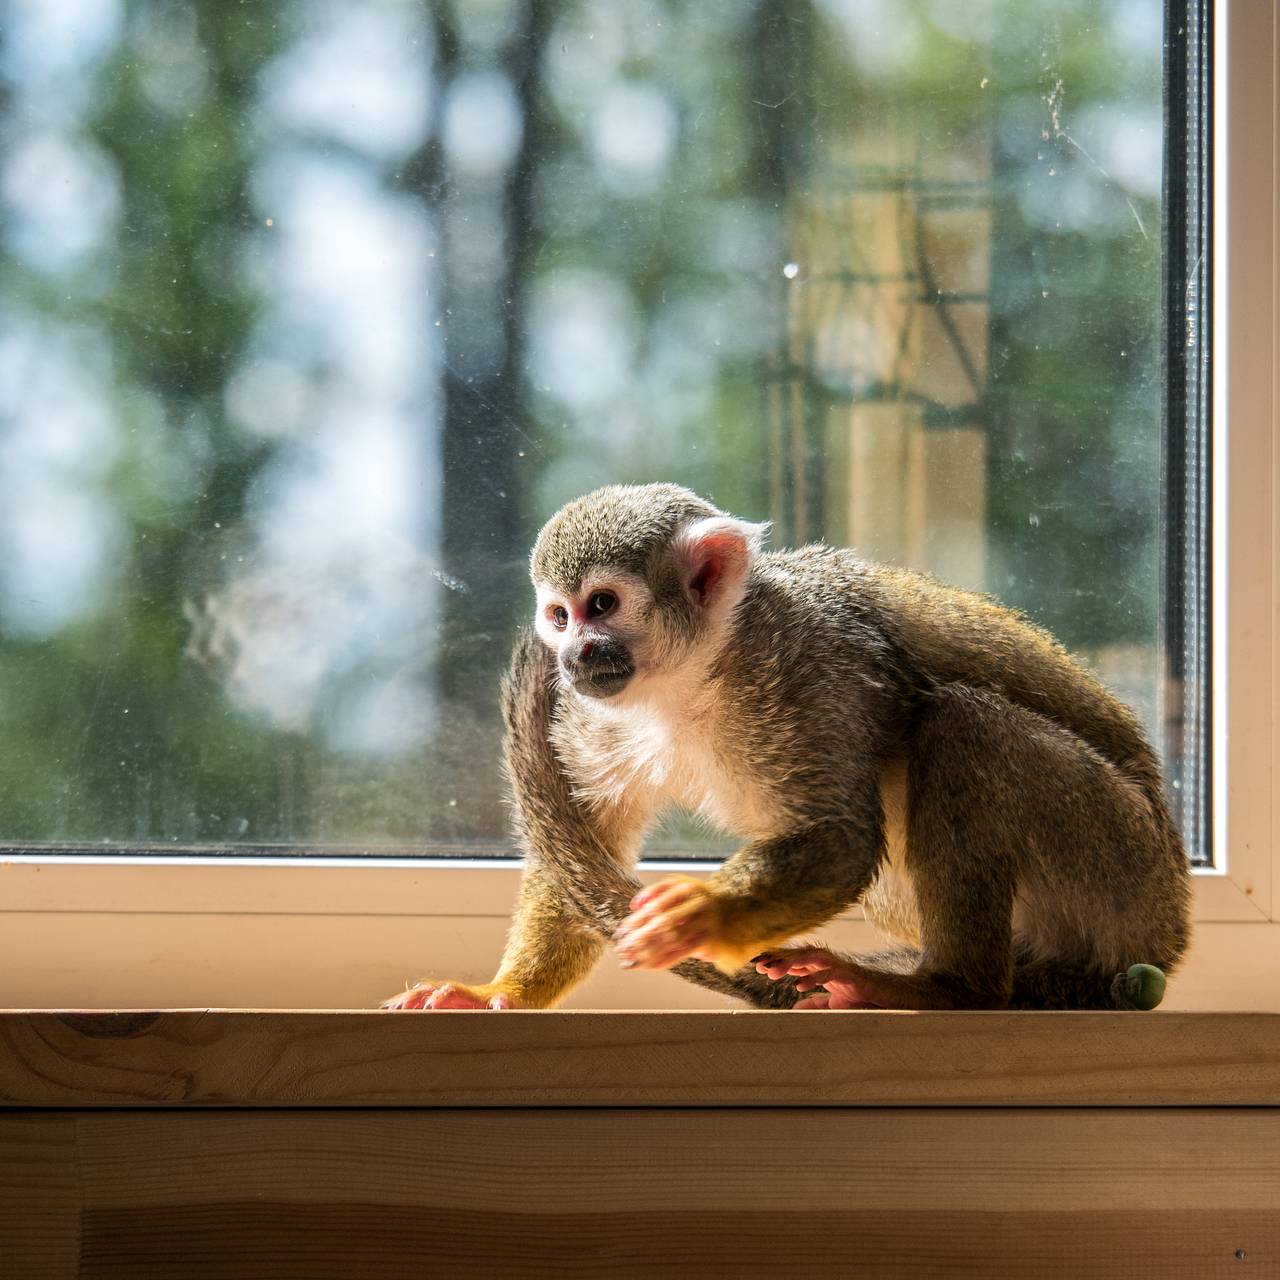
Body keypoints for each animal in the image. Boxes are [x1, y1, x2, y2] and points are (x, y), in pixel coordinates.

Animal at [381, 481, 1187, 1008]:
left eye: (601, 605)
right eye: (559, 614)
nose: (575, 654)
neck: (700, 666)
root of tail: (1166, 934)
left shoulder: (807, 667)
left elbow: (843, 837)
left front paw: (703, 916)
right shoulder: (596, 711)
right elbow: (591, 844)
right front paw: (503, 995)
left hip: (1118, 862)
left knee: (964, 725)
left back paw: (952, 989)